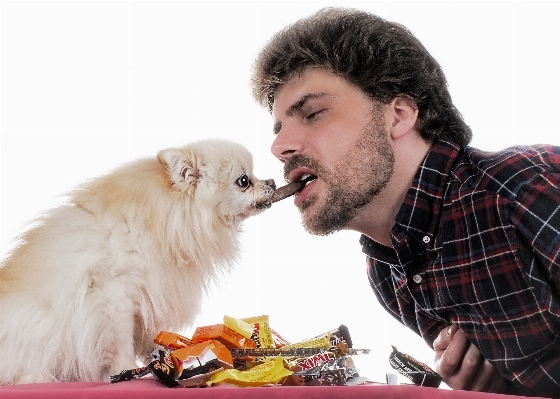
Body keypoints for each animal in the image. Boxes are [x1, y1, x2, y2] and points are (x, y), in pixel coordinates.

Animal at [0, 139, 276, 386]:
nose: (272, 182)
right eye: (244, 181)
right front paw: (127, 371)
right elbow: (121, 342)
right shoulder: (116, 298)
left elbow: (154, 337)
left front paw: (166, 361)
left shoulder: (152, 296)